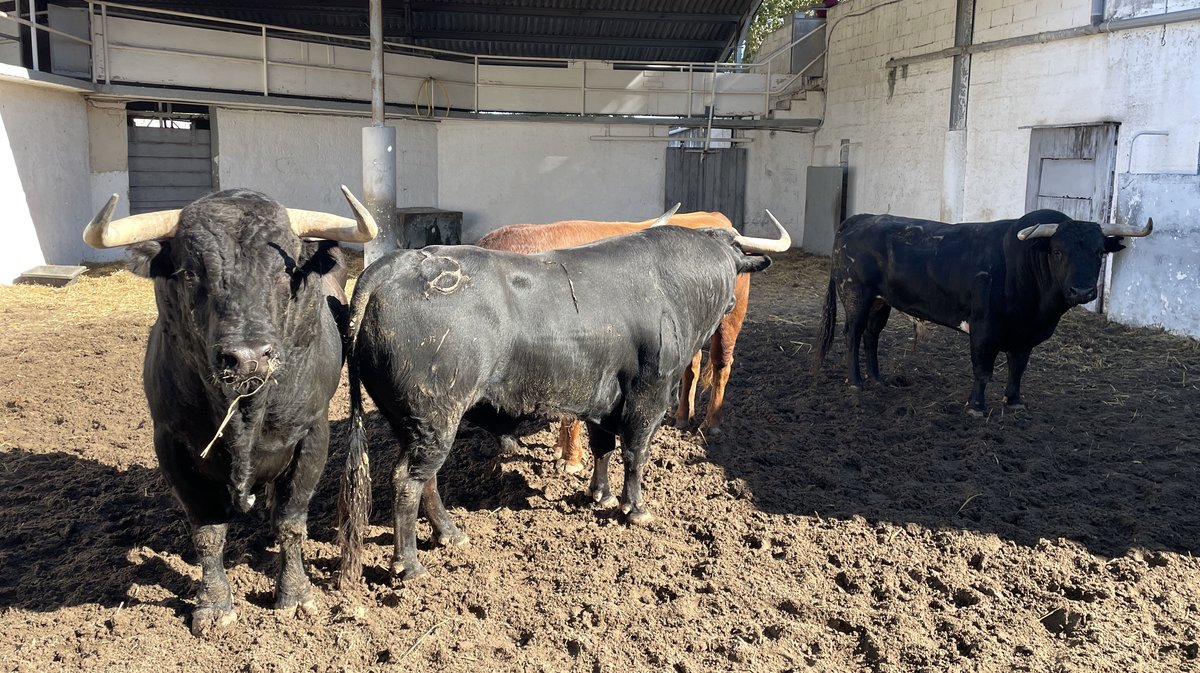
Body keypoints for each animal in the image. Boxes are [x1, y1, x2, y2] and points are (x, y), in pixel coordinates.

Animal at [83, 184, 374, 633]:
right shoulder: (171, 444)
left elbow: (291, 524)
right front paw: (214, 605)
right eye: (190, 273)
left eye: (285, 271)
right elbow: (207, 533)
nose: (248, 358)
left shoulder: (313, 435)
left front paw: (295, 595)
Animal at [475, 207, 777, 470]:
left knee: (721, 364)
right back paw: (681, 417)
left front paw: (571, 459)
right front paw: (561, 450)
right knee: (692, 366)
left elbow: (572, 417)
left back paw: (711, 423)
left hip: (730, 319)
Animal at [811, 208, 1147, 415]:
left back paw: (878, 379)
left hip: (881, 301)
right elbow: (983, 370)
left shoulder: (1025, 336)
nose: (1082, 291)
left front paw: (1014, 401)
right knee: (852, 335)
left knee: (871, 336)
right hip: (857, 293)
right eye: (1057, 251)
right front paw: (975, 406)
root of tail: (862, 218)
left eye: (1099, 252)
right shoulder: (984, 329)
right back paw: (856, 382)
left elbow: (1018, 368)